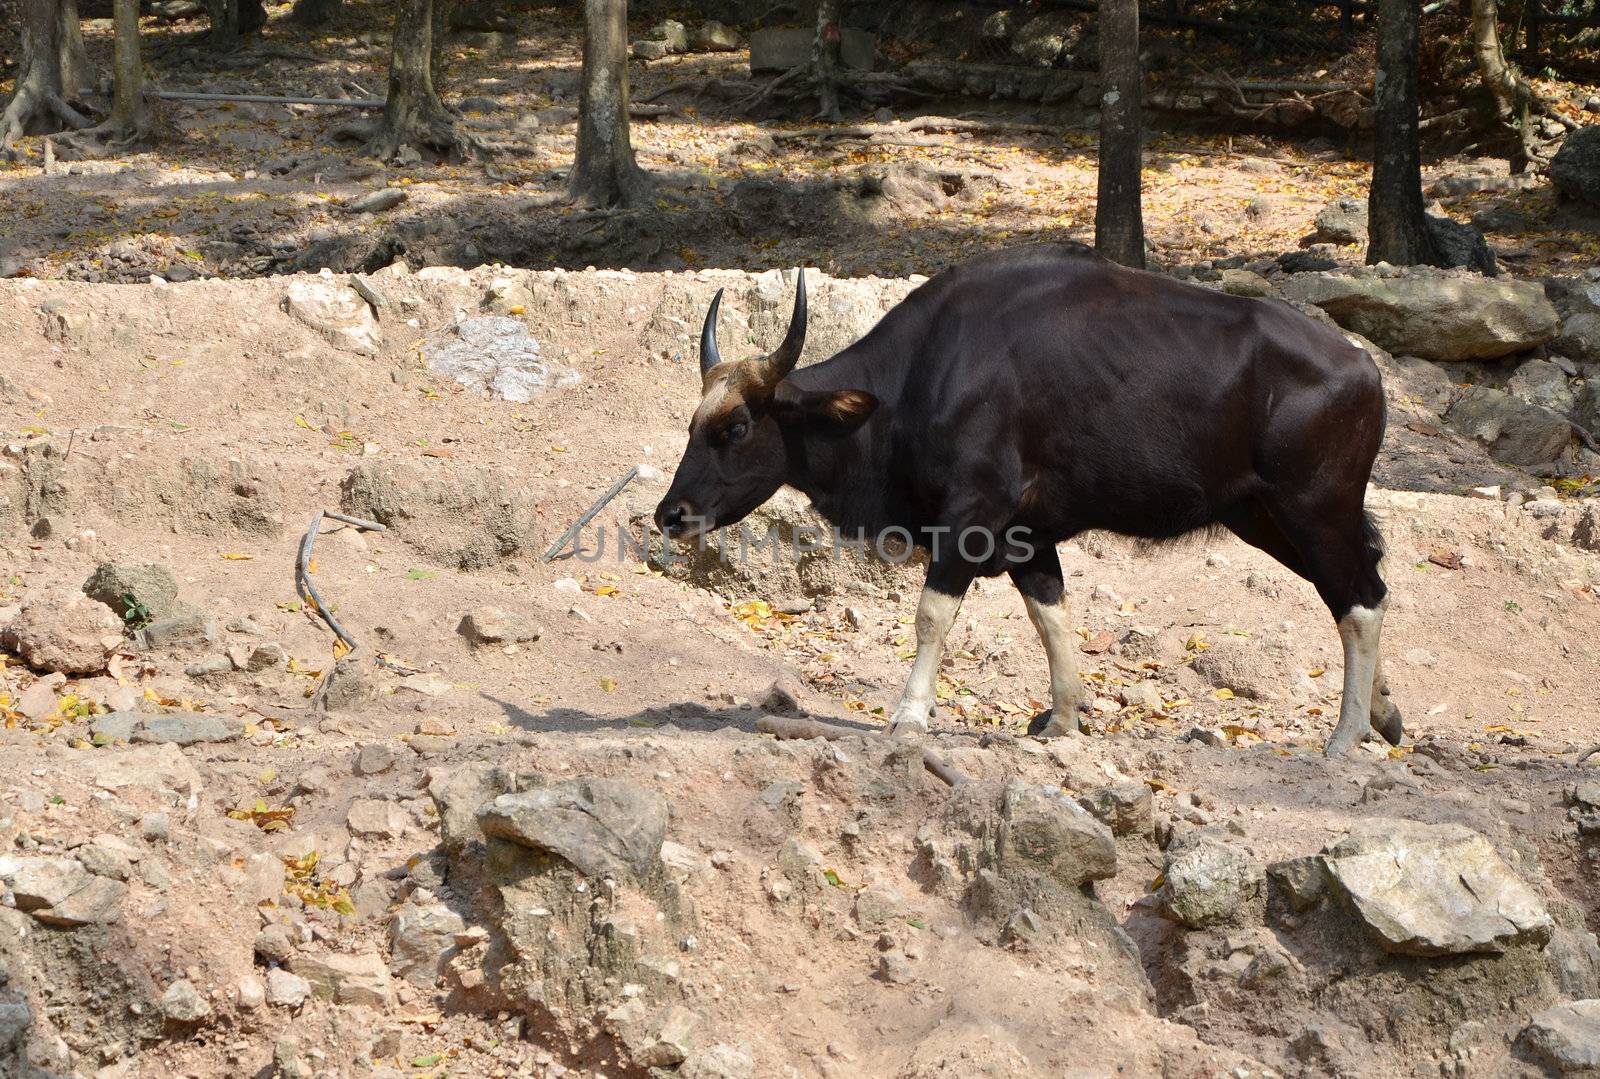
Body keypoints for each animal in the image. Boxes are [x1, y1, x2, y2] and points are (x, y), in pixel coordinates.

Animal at [652, 240, 1401, 752]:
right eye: (689, 425)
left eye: (737, 427)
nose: (671, 513)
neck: (922, 378)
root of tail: (1364, 366)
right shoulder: (1027, 538)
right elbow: (1052, 618)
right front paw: (1064, 717)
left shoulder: (971, 517)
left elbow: (932, 615)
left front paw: (910, 713)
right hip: (1265, 516)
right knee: (1359, 585)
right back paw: (1384, 712)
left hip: (1313, 509)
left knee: (1360, 597)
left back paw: (1347, 735)